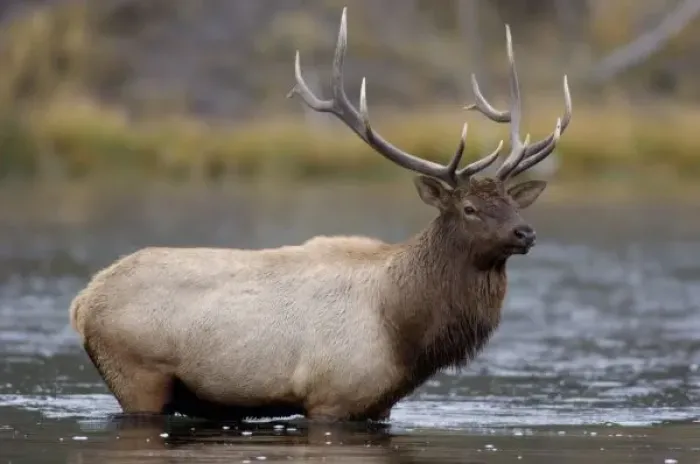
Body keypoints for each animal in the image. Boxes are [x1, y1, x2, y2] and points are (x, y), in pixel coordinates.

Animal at [69, 7, 571, 423]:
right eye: (469, 208)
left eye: (513, 203)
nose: (525, 233)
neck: (403, 331)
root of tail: (82, 302)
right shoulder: (332, 397)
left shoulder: (377, 406)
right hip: (137, 376)